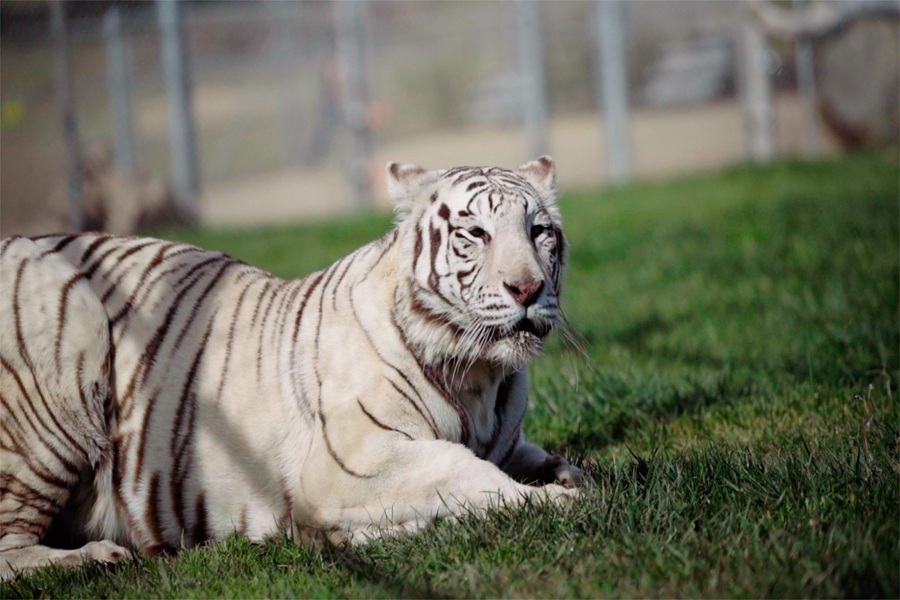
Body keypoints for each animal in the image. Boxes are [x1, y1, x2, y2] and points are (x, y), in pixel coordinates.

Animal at [0, 156, 583, 579]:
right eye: (476, 234)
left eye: (539, 231)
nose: (528, 288)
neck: (481, 378)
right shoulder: (351, 465)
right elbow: (464, 470)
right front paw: (554, 501)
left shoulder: (505, 439)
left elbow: (537, 458)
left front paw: (567, 475)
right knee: (9, 548)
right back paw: (92, 557)